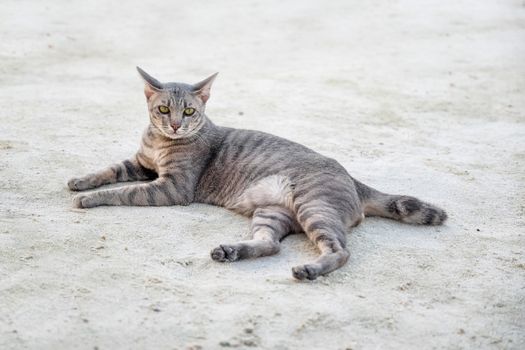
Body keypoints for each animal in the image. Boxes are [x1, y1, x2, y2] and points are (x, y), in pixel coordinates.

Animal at [67, 67, 446, 282]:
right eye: (163, 109)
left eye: (189, 111)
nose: (175, 124)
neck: (161, 142)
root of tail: (352, 178)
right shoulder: (141, 164)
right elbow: (109, 170)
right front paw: (81, 181)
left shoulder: (171, 187)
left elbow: (122, 191)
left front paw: (89, 198)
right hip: (272, 212)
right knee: (270, 245)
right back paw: (230, 251)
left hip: (314, 207)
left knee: (339, 251)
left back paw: (308, 270)